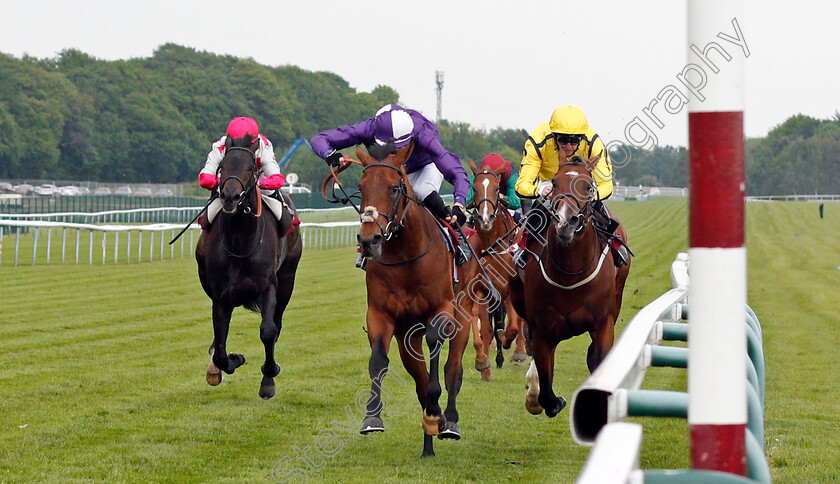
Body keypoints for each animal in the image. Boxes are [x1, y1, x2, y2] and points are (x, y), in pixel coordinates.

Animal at [195, 134, 304, 398]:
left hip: (287, 280)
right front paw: (230, 362)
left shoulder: (268, 288)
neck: (241, 240)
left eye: (251, 168)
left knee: (277, 324)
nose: (231, 197)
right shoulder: (221, 297)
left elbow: (268, 331)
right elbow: (221, 347)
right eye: (222, 167)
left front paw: (269, 377)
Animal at [352, 141, 480, 458]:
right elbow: (378, 360)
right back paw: (428, 442)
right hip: (407, 337)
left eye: (394, 188)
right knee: (419, 376)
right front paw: (372, 417)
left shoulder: (442, 309)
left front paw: (438, 413)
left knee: (453, 368)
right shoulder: (381, 314)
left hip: (464, 315)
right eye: (361, 187)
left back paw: (449, 421)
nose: (369, 240)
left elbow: (436, 349)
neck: (406, 256)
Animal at [466, 160, 524, 382]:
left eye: (497, 188)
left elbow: (513, 326)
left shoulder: (509, 290)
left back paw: (519, 350)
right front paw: (483, 363)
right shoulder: (481, 290)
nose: (485, 218)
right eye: (474, 188)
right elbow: (483, 327)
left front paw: (508, 342)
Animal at [506, 158, 632, 416]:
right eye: (554, 183)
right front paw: (543, 398)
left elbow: (598, 357)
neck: (570, 273)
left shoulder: (603, 322)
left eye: (589, 186)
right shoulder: (543, 328)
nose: (566, 222)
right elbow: (547, 393)